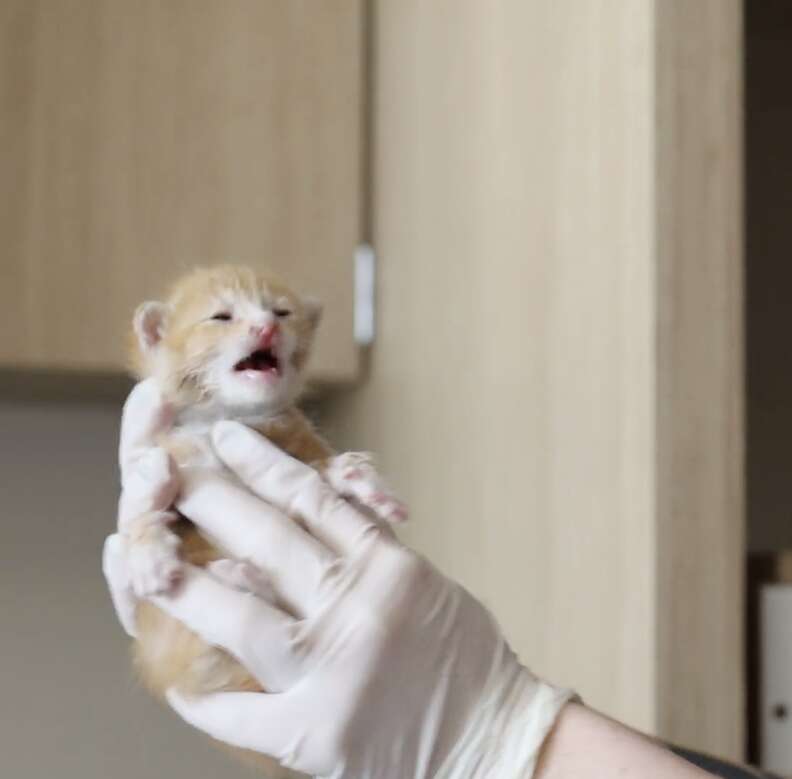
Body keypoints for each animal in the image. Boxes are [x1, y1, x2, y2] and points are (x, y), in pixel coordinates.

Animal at [124, 266, 408, 776]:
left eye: (281, 312)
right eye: (222, 316)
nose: (266, 329)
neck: (228, 417)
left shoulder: (297, 439)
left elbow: (322, 466)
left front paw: (363, 481)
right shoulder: (170, 455)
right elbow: (146, 506)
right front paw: (146, 553)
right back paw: (236, 576)